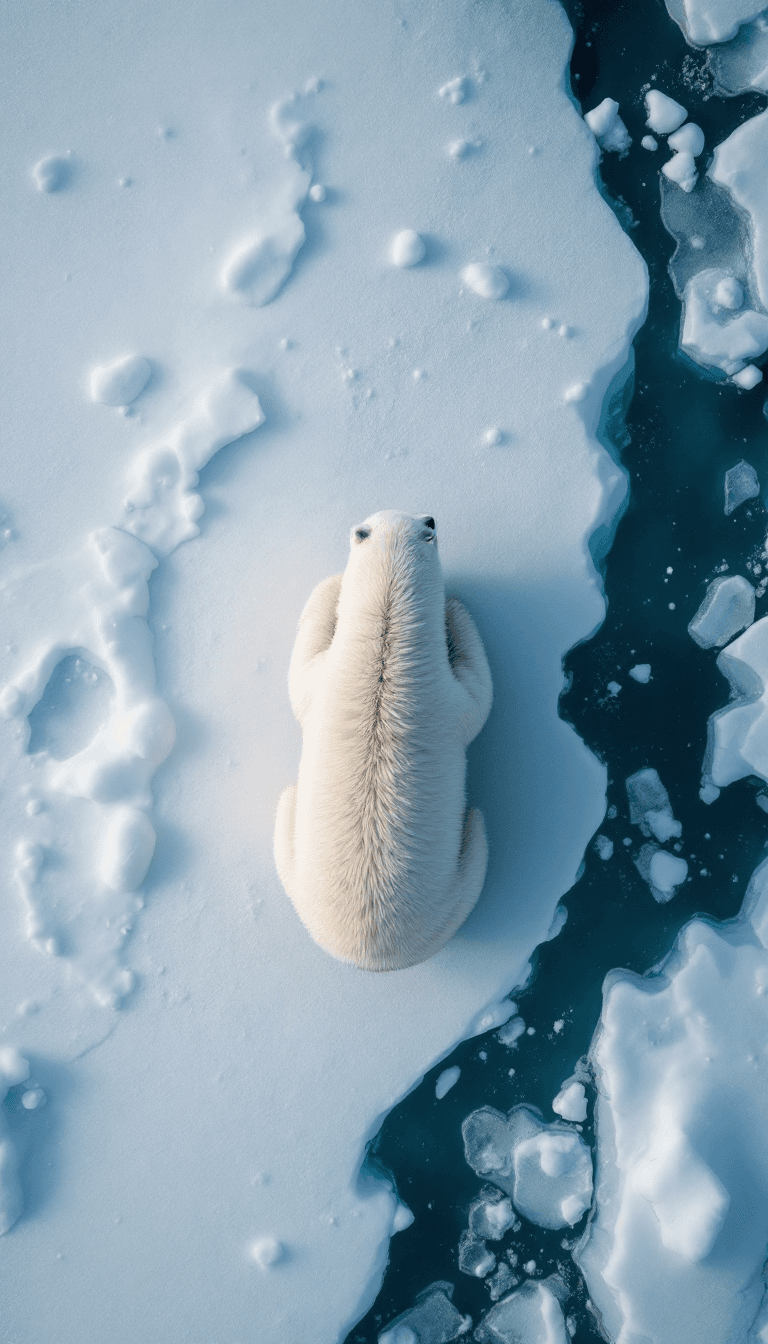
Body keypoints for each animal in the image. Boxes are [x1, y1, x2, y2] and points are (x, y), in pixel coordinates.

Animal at [274, 510, 493, 971]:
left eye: (426, 523)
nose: (431, 516)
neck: (386, 645)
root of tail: (369, 954)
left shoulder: (441, 695)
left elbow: (480, 696)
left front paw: (454, 607)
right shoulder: (333, 680)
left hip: (449, 899)